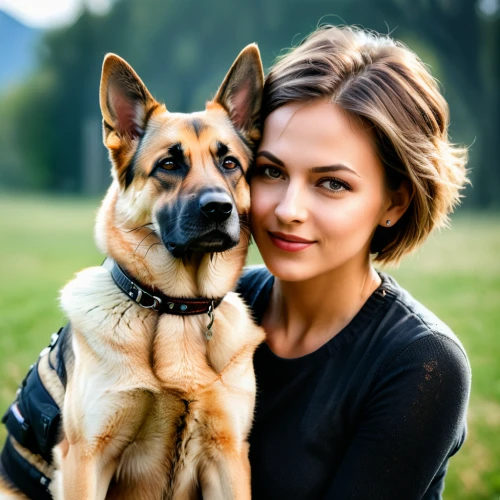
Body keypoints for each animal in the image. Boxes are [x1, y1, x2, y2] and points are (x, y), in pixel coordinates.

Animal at [0, 44, 266, 500]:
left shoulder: (228, 455)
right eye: (169, 165)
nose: (218, 208)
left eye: (230, 162)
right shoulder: (86, 459)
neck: (176, 307)